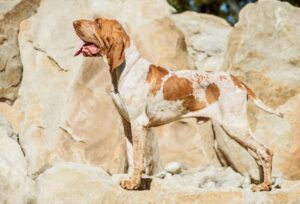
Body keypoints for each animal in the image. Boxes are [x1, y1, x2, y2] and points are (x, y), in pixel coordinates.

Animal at [72, 17, 284, 191]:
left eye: (97, 23)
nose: (74, 22)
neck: (125, 69)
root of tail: (238, 81)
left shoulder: (138, 123)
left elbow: (139, 159)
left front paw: (133, 184)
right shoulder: (127, 123)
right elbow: (132, 158)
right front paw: (132, 181)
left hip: (234, 125)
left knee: (265, 150)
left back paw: (265, 185)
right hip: (237, 129)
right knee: (258, 154)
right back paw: (261, 183)